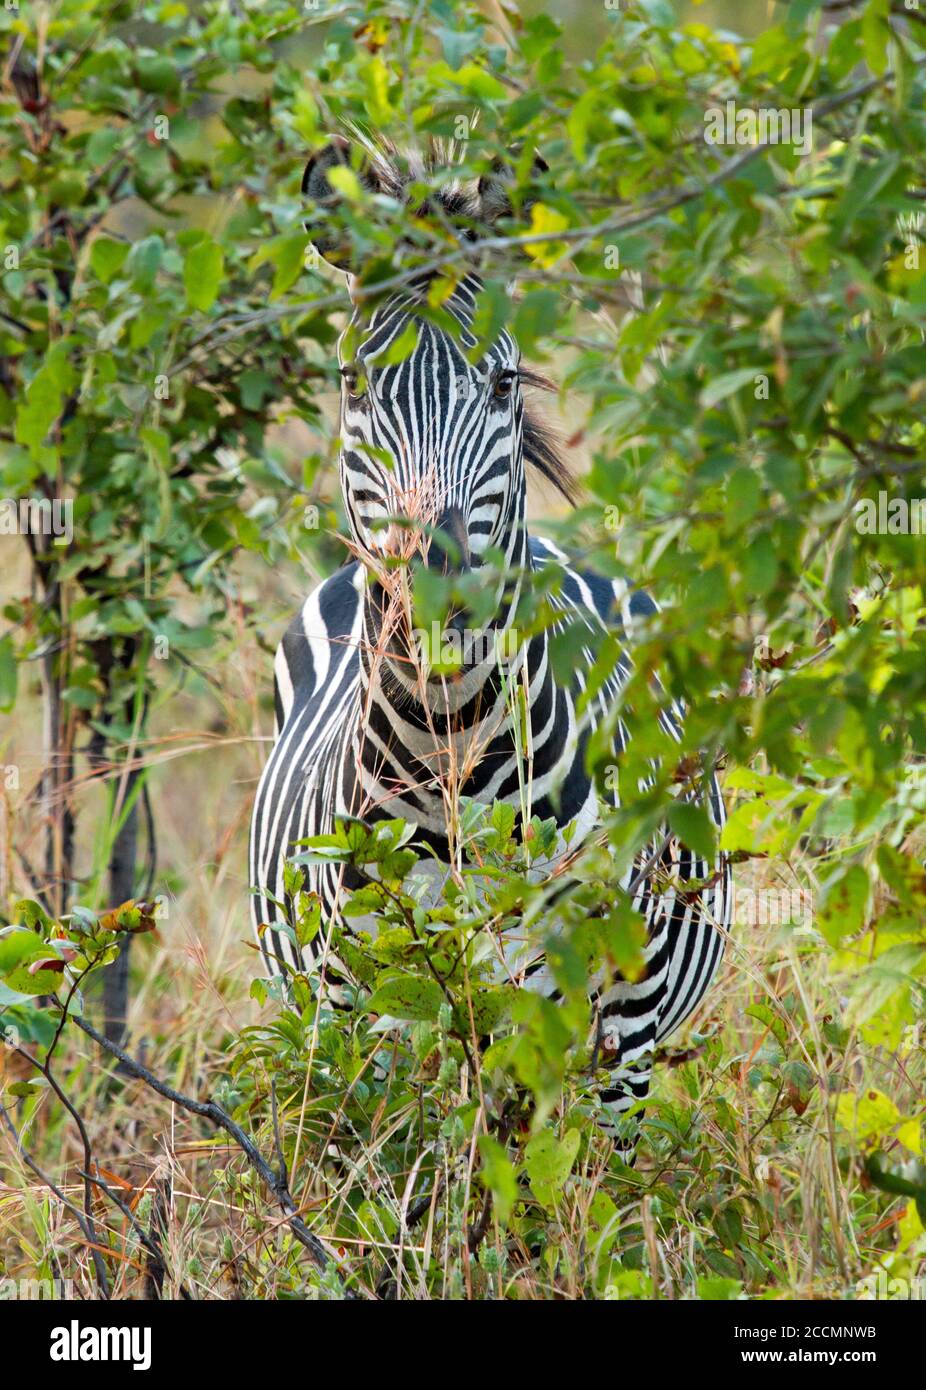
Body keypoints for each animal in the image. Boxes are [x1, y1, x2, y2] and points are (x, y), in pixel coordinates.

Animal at [248, 138, 734, 1139]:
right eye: (353, 381)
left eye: (502, 382)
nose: (432, 587)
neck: (450, 752)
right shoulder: (360, 1008)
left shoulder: (612, 1031)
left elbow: (569, 1187)